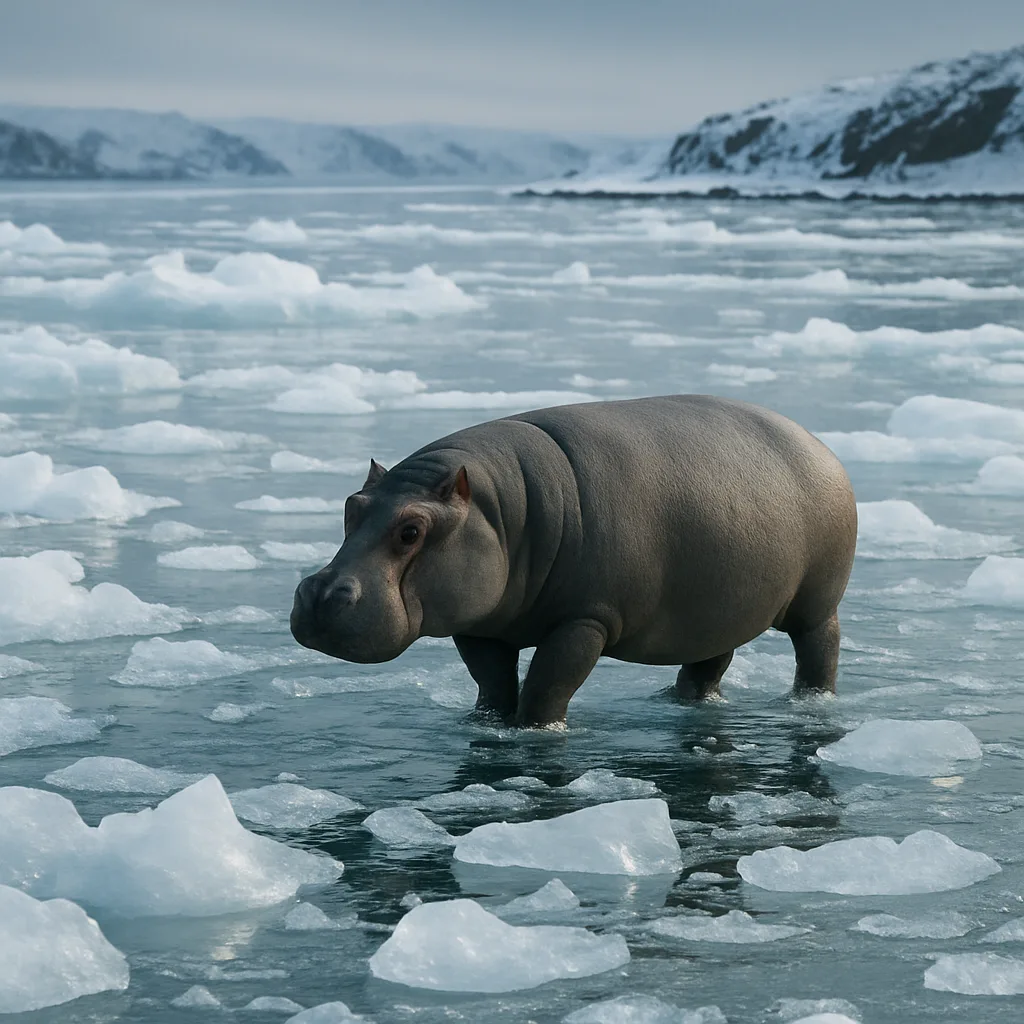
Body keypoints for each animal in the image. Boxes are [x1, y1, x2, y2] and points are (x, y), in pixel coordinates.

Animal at [290, 395, 857, 727]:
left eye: (411, 530)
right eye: (352, 505)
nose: (318, 595)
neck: (500, 512)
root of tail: (818, 444)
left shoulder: (586, 619)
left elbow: (547, 684)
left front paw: (534, 731)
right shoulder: (478, 623)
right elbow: (492, 684)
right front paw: (486, 724)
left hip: (816, 602)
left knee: (819, 649)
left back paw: (810, 703)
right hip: (720, 608)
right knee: (709, 662)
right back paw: (677, 701)